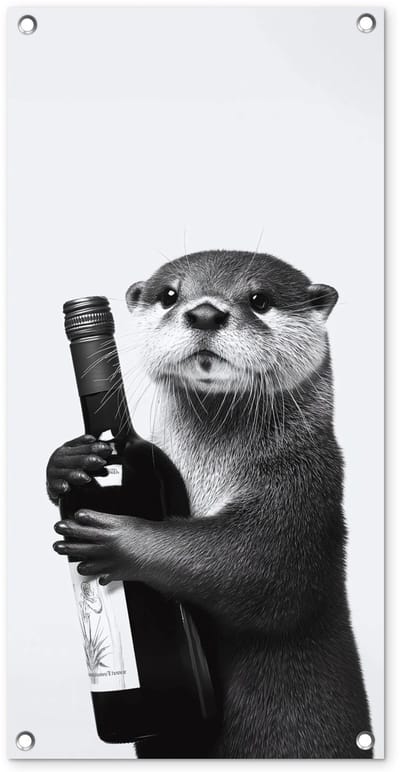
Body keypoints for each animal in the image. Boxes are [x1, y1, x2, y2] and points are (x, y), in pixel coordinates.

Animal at [48, 250, 372, 758]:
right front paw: (66, 462)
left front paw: (121, 538)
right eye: (169, 295)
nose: (204, 312)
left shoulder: (304, 487)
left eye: (259, 299)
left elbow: (259, 566)